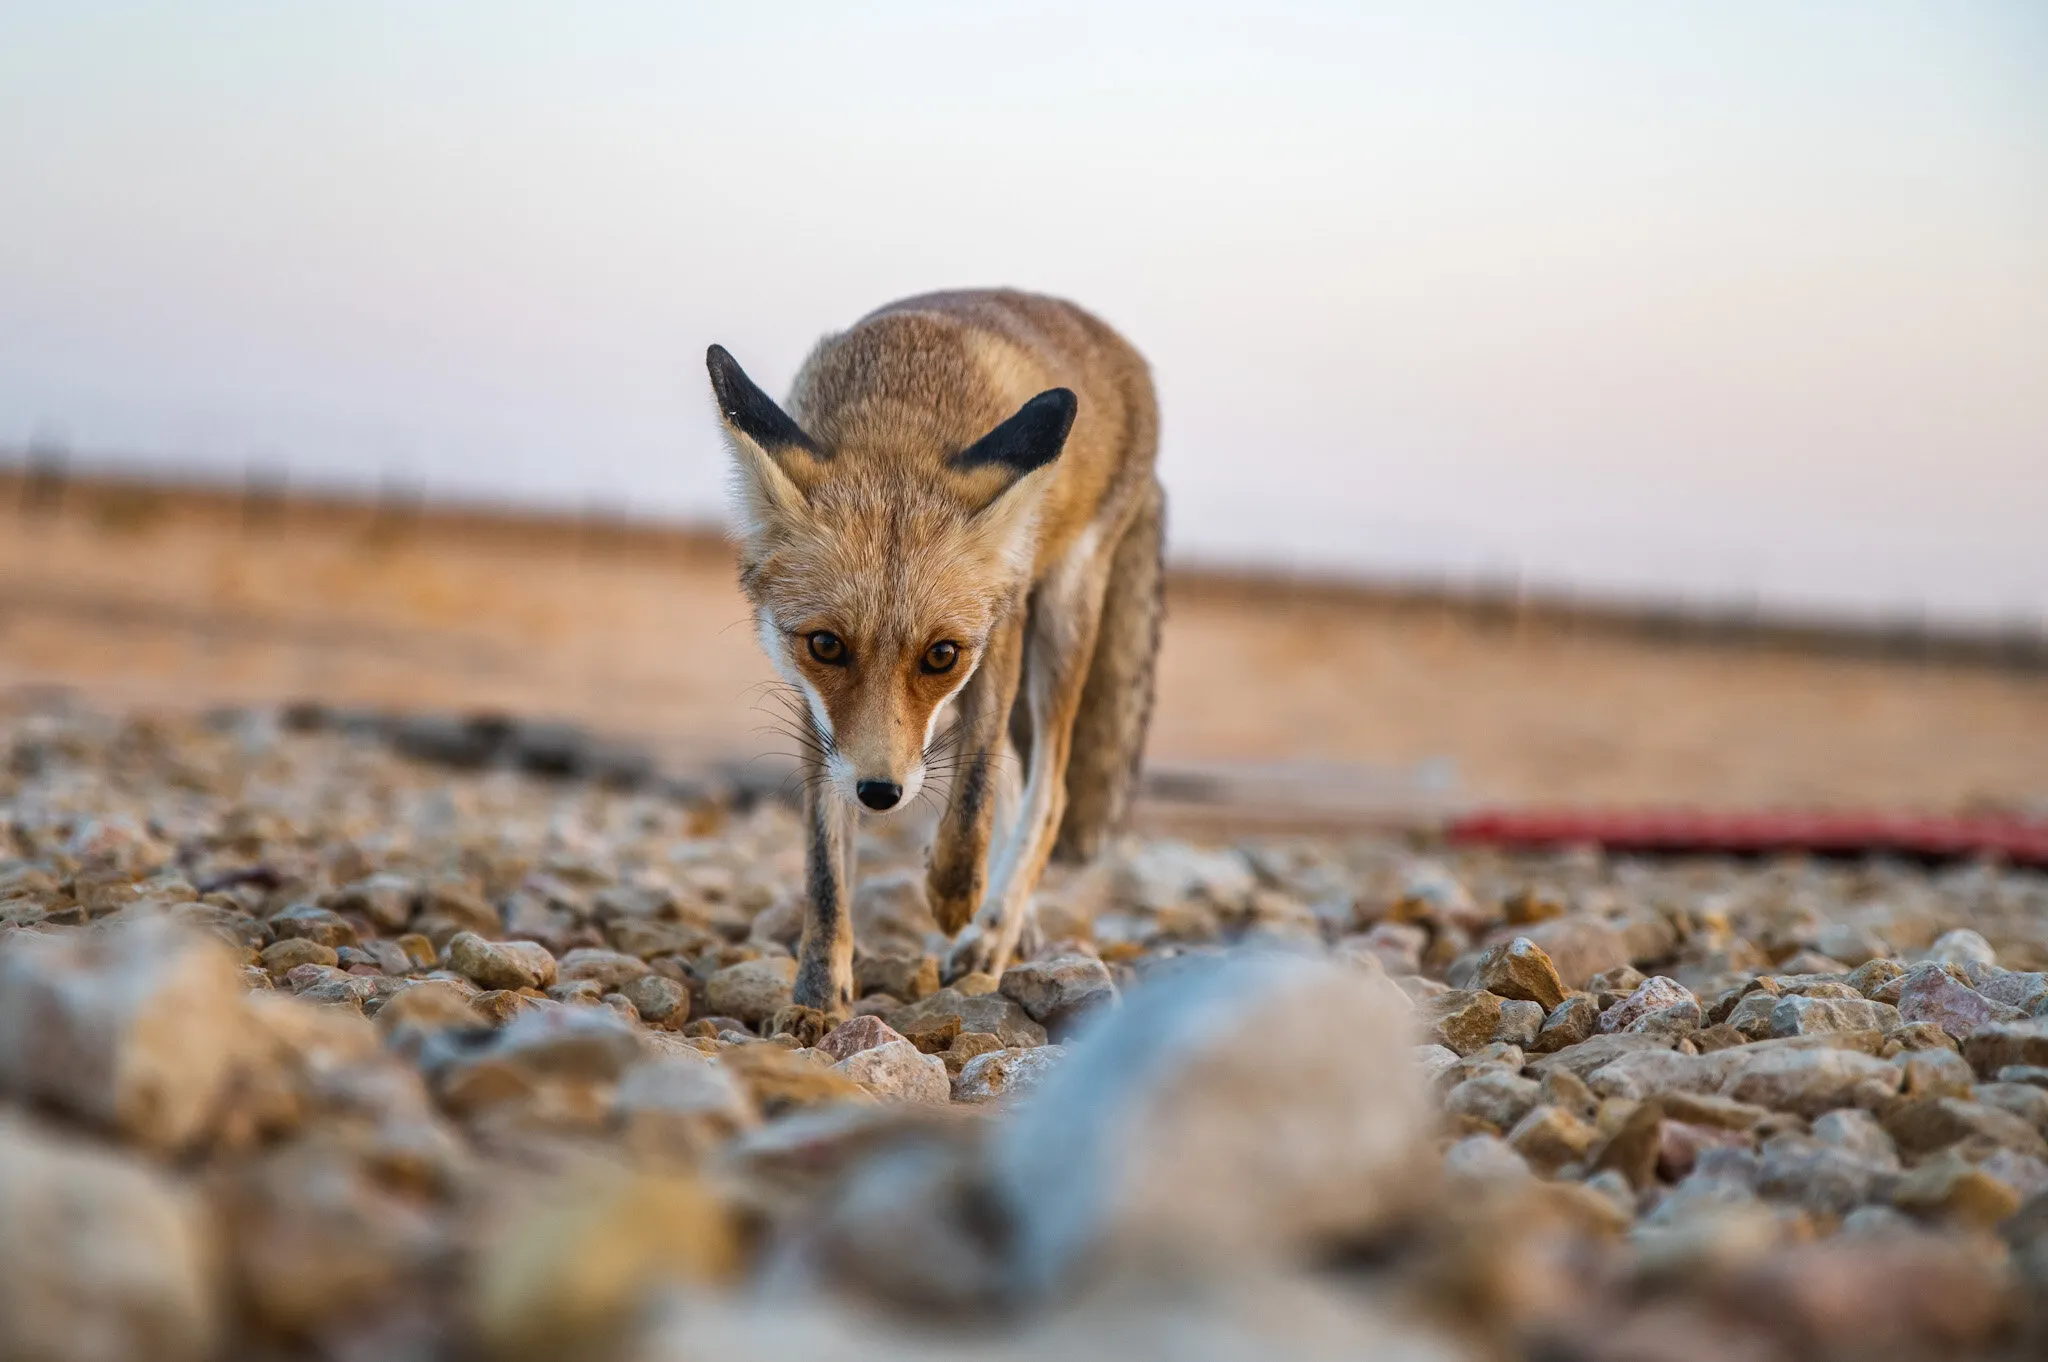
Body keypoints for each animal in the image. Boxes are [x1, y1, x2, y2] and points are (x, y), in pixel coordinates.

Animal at [704, 289, 1164, 1017]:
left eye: (941, 655)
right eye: (826, 645)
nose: (880, 793)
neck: (901, 410)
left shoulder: (998, 629)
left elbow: (972, 790)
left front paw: (953, 896)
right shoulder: (816, 708)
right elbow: (825, 864)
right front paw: (818, 998)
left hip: (1063, 618)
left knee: (1049, 792)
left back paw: (991, 928)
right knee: (1018, 776)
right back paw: (1011, 924)